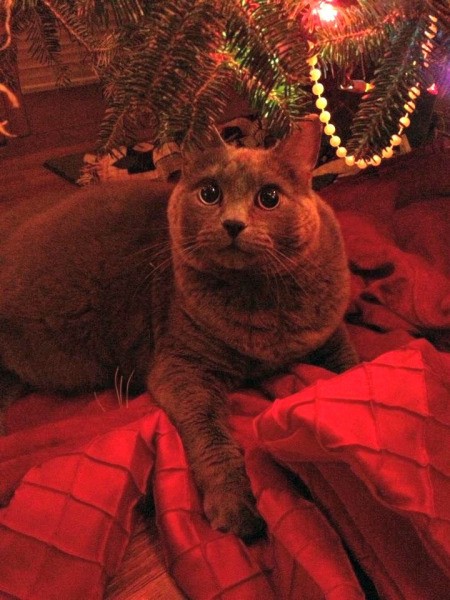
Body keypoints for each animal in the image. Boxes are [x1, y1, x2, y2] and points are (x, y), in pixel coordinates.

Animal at [0, 116, 358, 540]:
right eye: (210, 193)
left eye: (269, 197)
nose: (233, 223)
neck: (259, 304)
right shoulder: (181, 368)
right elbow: (210, 433)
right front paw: (235, 507)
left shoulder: (330, 333)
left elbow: (352, 367)